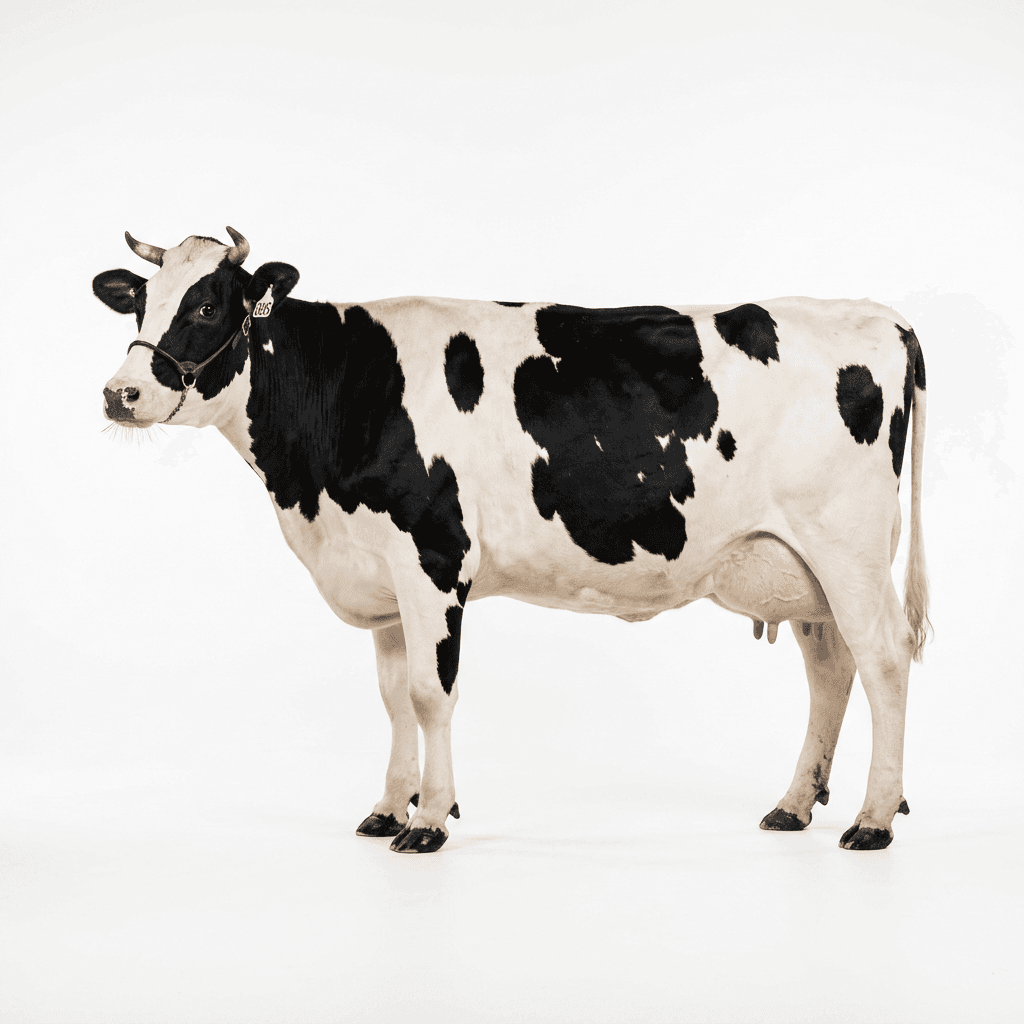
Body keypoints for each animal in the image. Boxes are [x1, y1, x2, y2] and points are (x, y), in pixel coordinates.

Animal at [95, 227, 930, 854]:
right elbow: (393, 697)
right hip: (799, 563)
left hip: (847, 546)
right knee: (831, 668)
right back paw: (795, 804)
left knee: (884, 659)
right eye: (140, 307)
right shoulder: (382, 574)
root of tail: (877, 315)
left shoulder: (433, 558)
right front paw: (389, 808)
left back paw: (873, 818)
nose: (119, 394)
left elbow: (431, 694)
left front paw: (431, 819)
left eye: (207, 305)